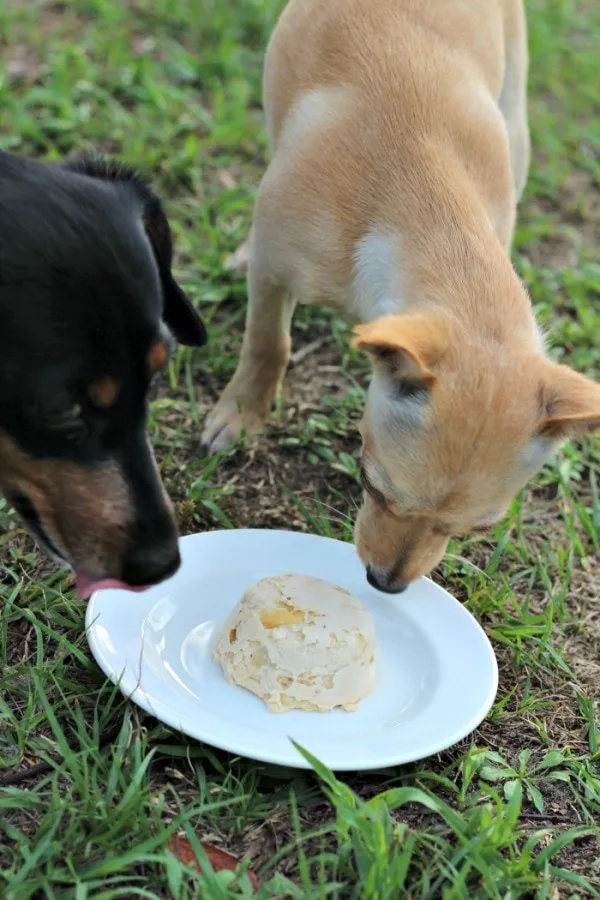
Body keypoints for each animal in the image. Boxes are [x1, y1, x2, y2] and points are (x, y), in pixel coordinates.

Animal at [203, 0, 600, 596]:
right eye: (372, 485)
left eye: (476, 530)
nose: (387, 584)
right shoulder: (275, 273)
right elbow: (268, 343)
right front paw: (242, 414)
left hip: (517, 121)